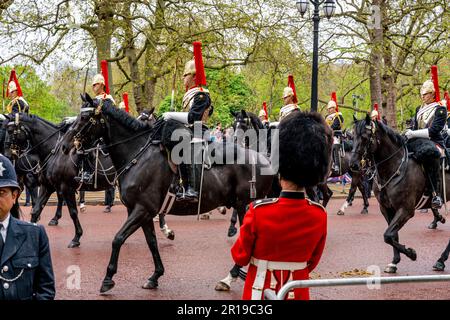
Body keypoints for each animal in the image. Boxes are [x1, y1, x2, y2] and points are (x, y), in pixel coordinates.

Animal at [59, 94, 274, 294]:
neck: (137, 154)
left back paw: (230, 278)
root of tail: (265, 160)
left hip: (245, 206)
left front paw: (108, 278)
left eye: (84, 117)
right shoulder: (143, 212)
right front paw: (155, 276)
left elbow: (118, 238)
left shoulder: (142, 209)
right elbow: (152, 242)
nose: (64, 146)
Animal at [350, 115, 448, 272]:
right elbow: (392, 235)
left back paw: (440, 260)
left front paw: (412, 253)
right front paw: (394, 262)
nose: (353, 165)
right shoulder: (386, 208)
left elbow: (388, 235)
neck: (394, 169)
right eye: (352, 136)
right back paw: (441, 259)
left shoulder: (406, 210)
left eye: (365, 137)